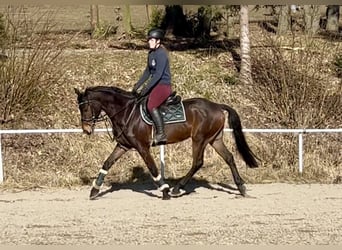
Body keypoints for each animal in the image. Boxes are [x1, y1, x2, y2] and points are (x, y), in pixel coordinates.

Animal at [74, 85, 256, 199]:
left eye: (85, 107)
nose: (86, 130)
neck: (126, 112)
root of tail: (217, 105)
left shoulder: (142, 147)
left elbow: (153, 168)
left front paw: (165, 191)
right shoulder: (123, 145)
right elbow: (107, 163)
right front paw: (94, 190)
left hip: (199, 139)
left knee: (197, 162)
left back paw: (176, 189)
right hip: (214, 139)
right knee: (229, 157)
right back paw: (241, 188)